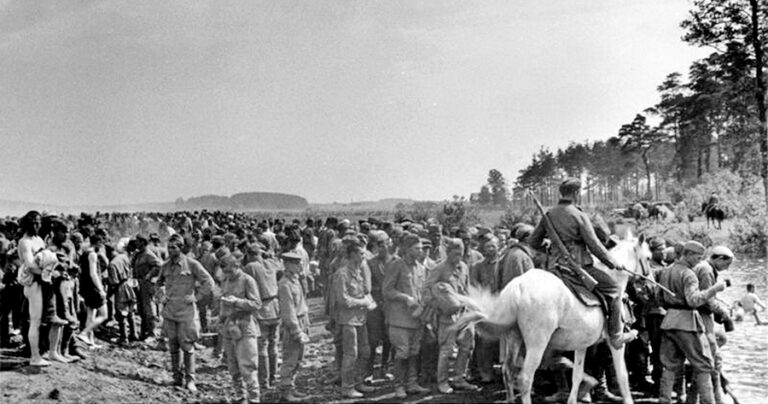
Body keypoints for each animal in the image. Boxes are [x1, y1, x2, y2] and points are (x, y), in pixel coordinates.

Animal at [452, 234, 652, 404]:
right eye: (649, 258)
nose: (650, 288)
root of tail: (517, 287)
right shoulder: (615, 343)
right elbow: (622, 375)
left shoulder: (582, 344)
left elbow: (577, 374)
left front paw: (575, 397)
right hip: (536, 344)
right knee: (525, 378)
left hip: (513, 337)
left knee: (508, 371)